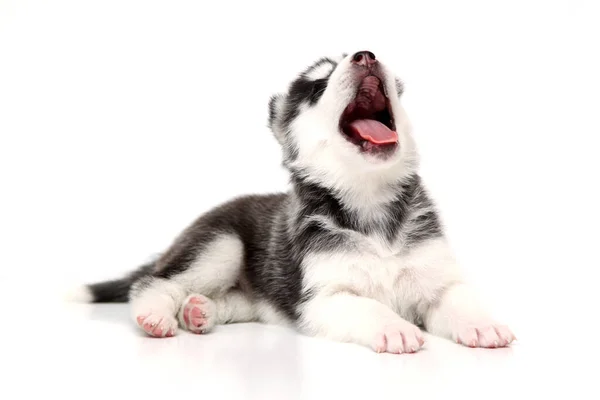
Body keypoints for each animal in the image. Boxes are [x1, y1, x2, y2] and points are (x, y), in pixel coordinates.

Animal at [76, 50, 516, 354]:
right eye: (318, 85)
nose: (366, 55)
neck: (370, 203)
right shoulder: (324, 298)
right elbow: (368, 307)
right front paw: (394, 327)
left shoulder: (437, 280)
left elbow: (458, 299)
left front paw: (482, 323)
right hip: (220, 244)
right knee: (153, 282)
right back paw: (156, 314)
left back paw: (198, 310)